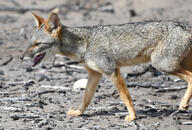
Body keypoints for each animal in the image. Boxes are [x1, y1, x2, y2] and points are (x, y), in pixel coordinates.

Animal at [19, 11, 192, 121]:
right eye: (30, 43)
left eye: (38, 44)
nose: (21, 57)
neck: (83, 44)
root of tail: (185, 26)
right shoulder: (94, 74)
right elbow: (86, 98)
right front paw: (78, 113)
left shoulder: (111, 70)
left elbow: (125, 97)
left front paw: (132, 116)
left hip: (162, 65)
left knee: (191, 78)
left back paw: (183, 104)